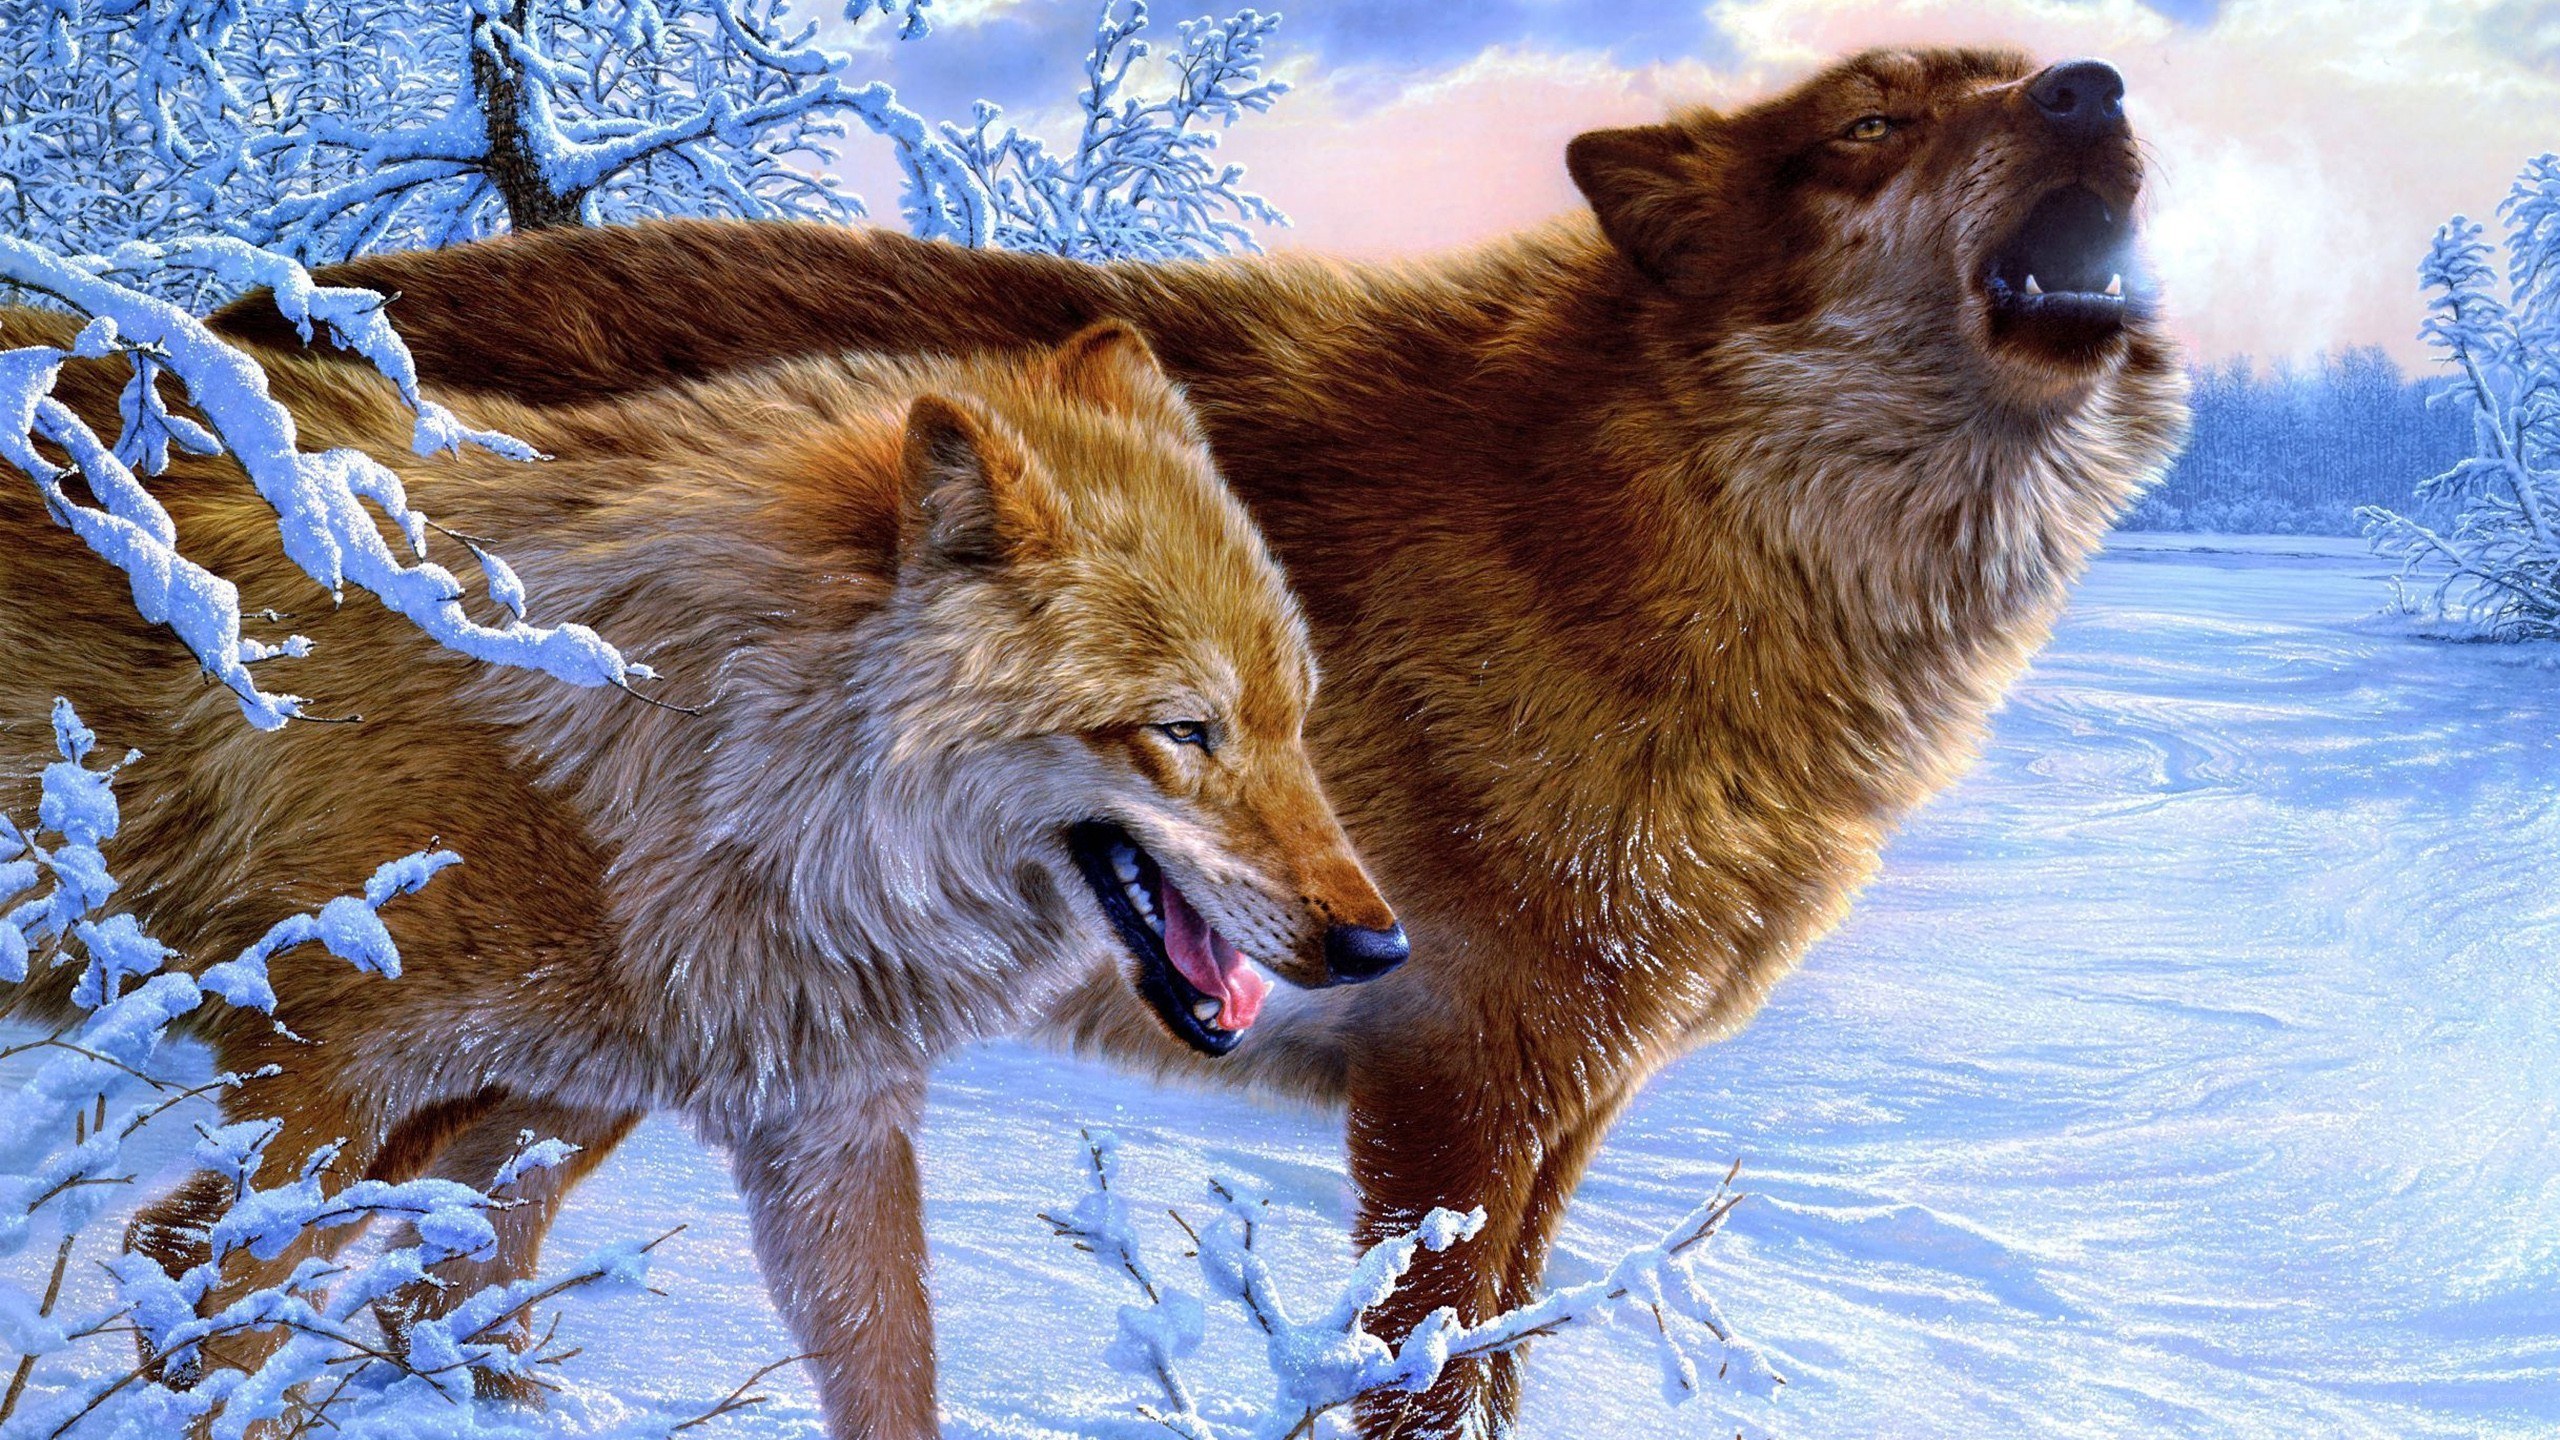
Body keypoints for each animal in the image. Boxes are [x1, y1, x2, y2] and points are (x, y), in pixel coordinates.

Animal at [0, 311, 1407, 1438]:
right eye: (1186, 730)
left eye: (1294, 719)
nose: (1378, 947)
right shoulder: (321, 1077)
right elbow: (198, 1284)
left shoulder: (783, 1117)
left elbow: (871, 1366)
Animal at [215, 47, 2191, 1435]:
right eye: (1869, 123)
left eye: (2015, 71)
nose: (2097, 89)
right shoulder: (1458, 1092)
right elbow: (1420, 1381)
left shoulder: (1572, 1102)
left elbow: (1500, 1368)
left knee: (429, 1279)